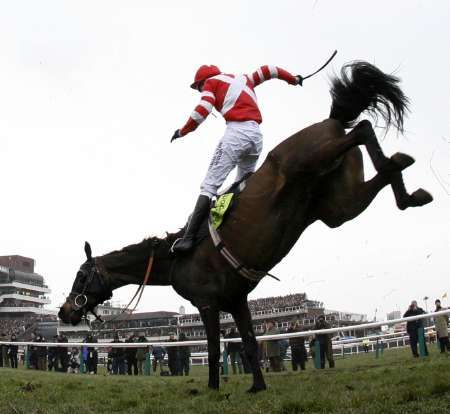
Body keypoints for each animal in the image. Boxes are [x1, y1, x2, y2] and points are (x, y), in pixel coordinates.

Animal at [57, 60, 432, 392]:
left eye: (81, 275)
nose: (65, 311)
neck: (174, 257)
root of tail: (330, 120)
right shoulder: (236, 301)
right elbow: (250, 344)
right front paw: (257, 387)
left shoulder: (207, 305)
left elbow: (212, 350)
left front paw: (212, 388)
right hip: (338, 206)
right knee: (374, 168)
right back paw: (409, 188)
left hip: (309, 160)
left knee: (363, 128)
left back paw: (403, 174)